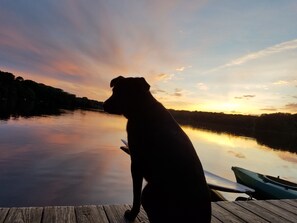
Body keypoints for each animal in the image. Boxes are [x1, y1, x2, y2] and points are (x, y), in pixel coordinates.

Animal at [103, 76, 210, 221]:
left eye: (122, 92)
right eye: (114, 91)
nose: (104, 105)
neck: (142, 110)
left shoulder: (136, 164)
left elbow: (135, 196)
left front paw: (132, 214)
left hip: (148, 193)